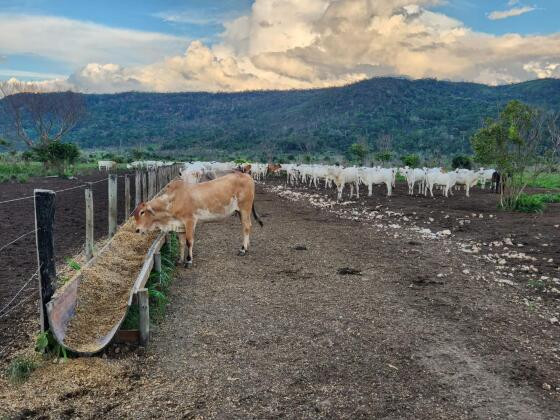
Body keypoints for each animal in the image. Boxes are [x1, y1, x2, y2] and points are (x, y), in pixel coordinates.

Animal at [133, 172, 262, 268]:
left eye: (142, 212)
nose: (137, 230)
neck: (172, 201)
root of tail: (247, 176)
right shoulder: (180, 226)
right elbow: (181, 243)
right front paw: (180, 260)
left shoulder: (190, 221)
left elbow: (189, 241)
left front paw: (189, 260)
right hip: (239, 211)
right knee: (247, 226)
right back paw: (246, 246)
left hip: (245, 208)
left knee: (246, 226)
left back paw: (243, 249)